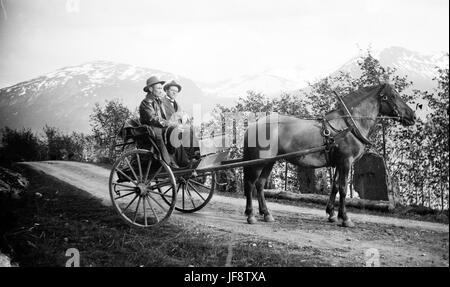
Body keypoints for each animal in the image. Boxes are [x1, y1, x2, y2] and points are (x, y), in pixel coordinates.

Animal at [243, 82, 414, 227]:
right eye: (393, 95)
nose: (413, 115)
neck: (349, 125)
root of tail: (255, 124)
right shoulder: (346, 162)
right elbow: (343, 189)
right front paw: (345, 218)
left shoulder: (339, 163)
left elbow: (335, 187)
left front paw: (332, 214)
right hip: (259, 162)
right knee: (251, 184)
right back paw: (251, 215)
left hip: (269, 162)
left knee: (260, 185)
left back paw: (266, 214)